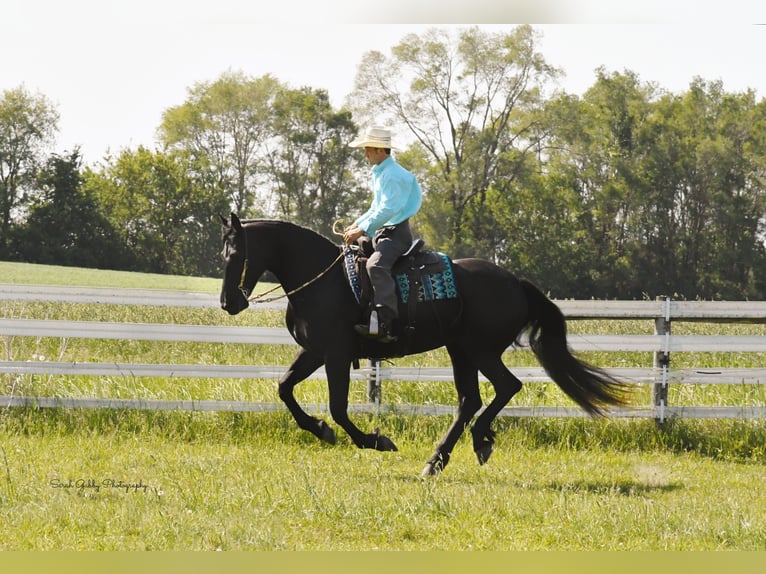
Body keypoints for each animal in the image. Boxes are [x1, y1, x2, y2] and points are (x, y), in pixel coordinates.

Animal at [220, 215, 632, 476]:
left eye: (236, 254)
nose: (228, 302)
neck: (326, 280)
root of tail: (516, 282)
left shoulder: (336, 354)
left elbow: (338, 408)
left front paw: (376, 440)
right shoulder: (314, 352)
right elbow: (285, 388)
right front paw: (319, 429)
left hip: (480, 351)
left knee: (505, 387)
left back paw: (474, 441)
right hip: (460, 352)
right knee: (470, 400)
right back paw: (440, 458)